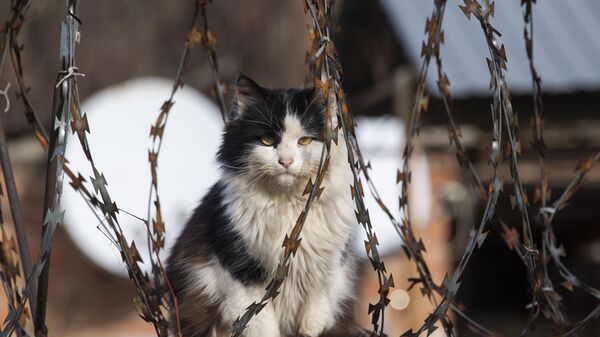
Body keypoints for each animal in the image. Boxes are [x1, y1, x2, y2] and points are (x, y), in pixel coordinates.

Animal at [166, 74, 368, 336]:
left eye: (305, 140)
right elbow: (264, 328)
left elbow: (314, 322)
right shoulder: (242, 279)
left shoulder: (327, 276)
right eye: (267, 139)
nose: (286, 161)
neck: (290, 210)